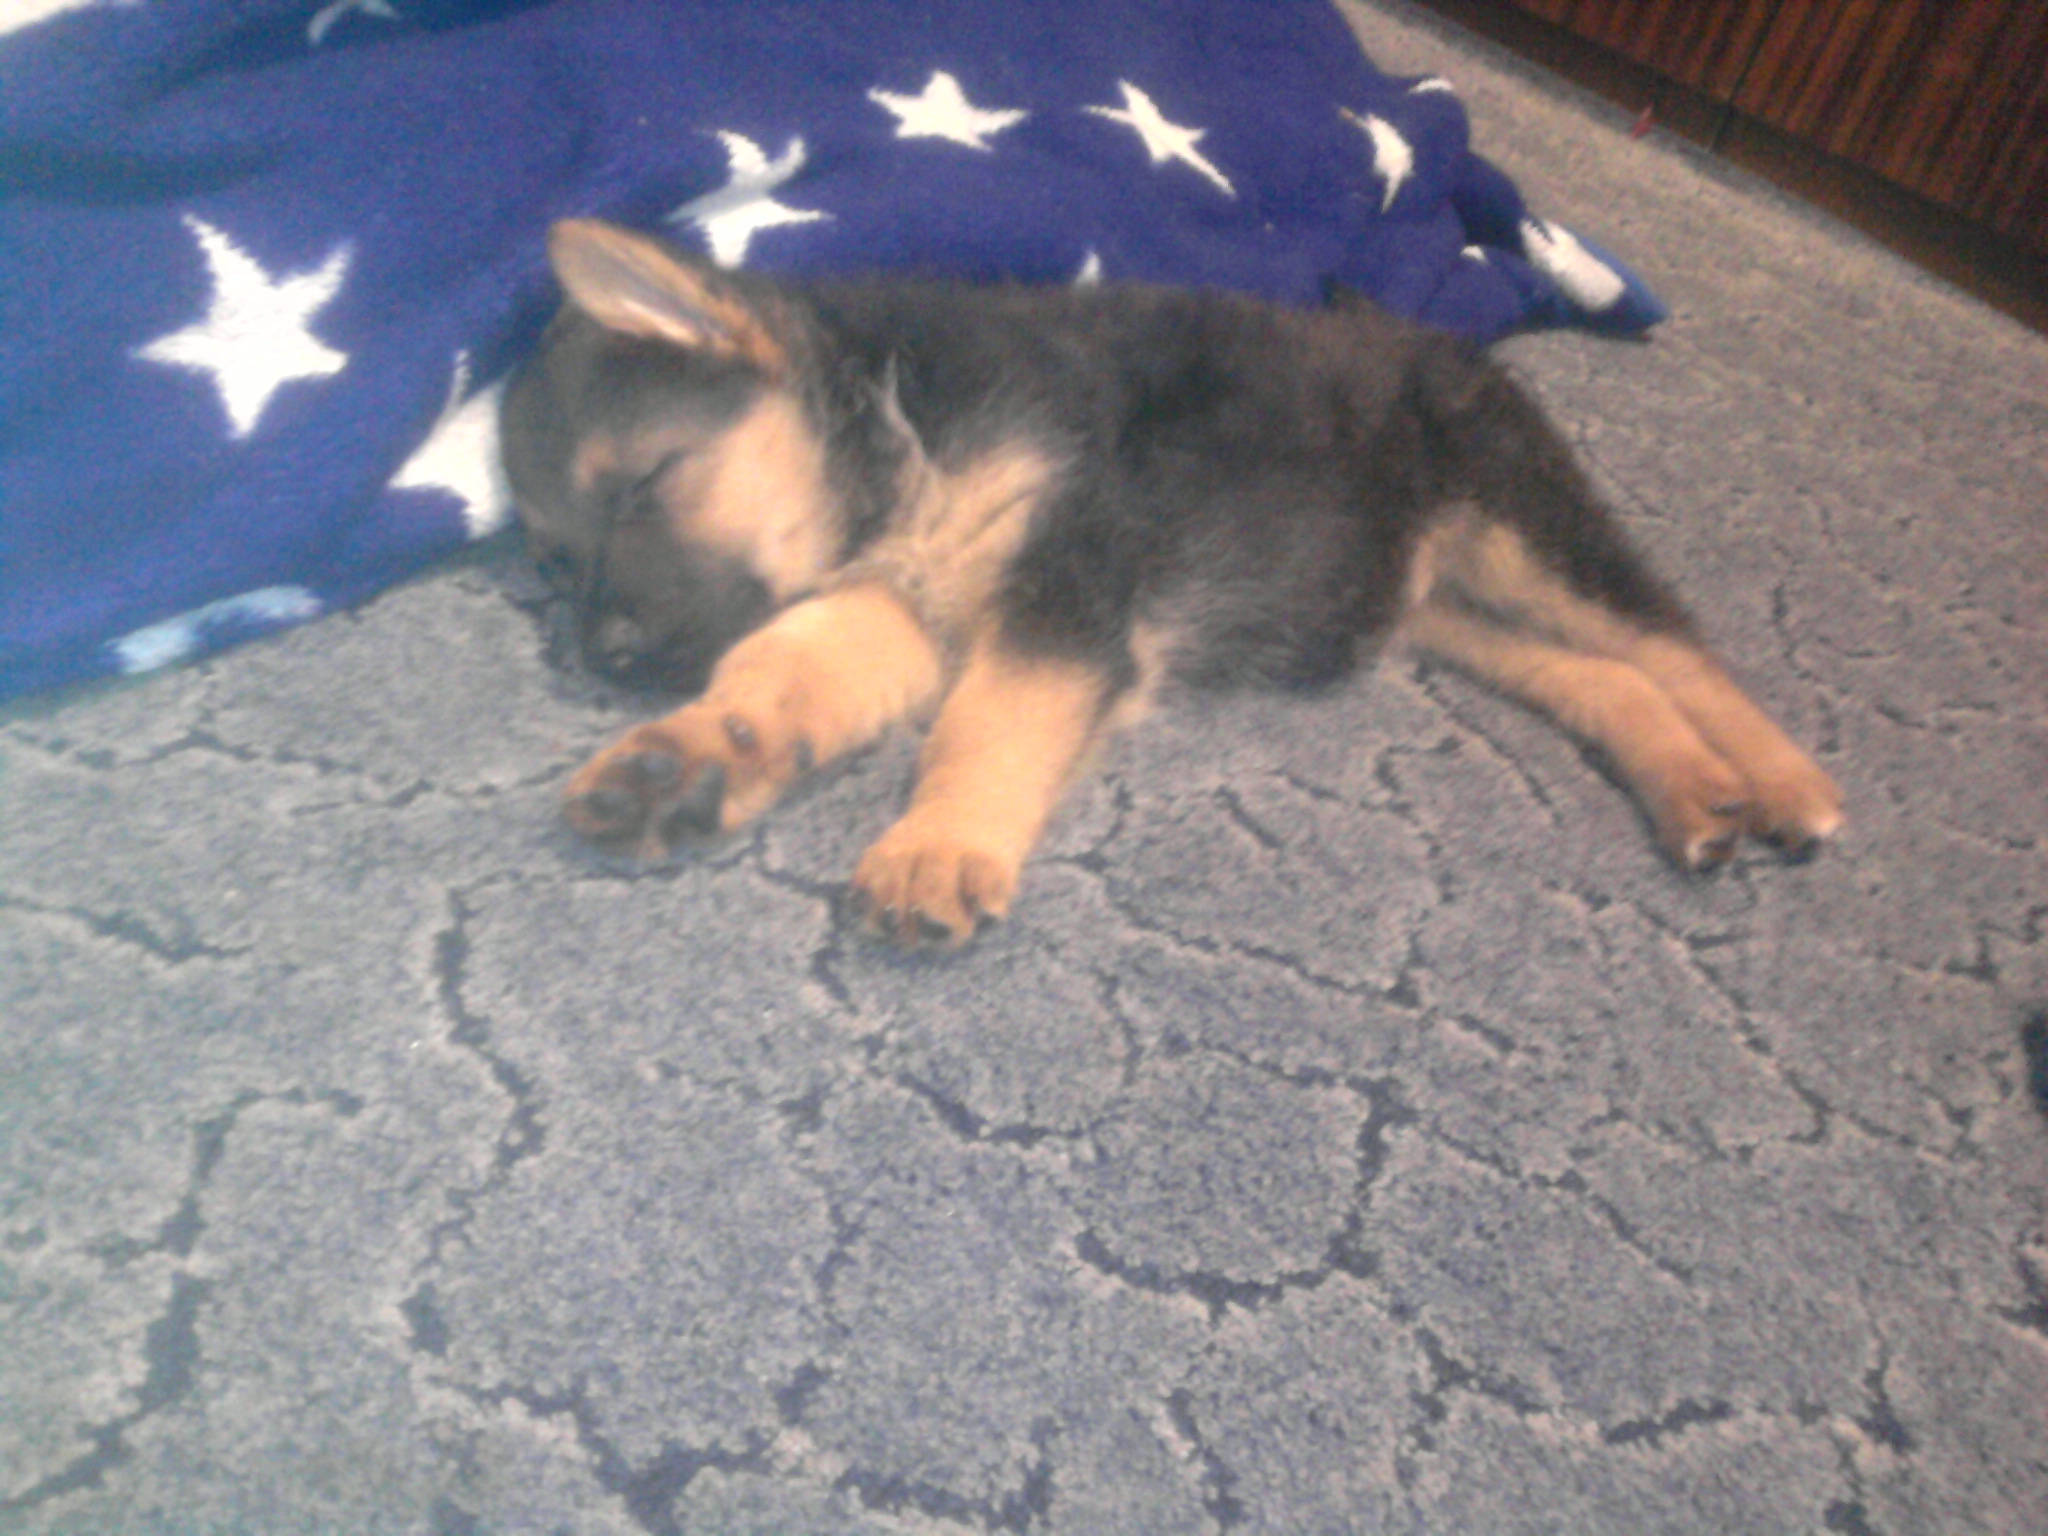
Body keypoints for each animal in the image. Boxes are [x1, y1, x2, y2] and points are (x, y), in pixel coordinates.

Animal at [499, 219, 1842, 947]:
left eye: (643, 484)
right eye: (553, 557)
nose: (598, 661)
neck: (900, 416)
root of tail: (1438, 338)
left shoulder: (1075, 571)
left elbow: (991, 718)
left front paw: (939, 845)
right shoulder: (906, 602)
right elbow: (781, 667)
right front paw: (692, 760)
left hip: (1525, 527)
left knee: (1673, 647)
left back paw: (1786, 784)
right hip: (1435, 604)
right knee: (1604, 680)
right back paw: (1694, 793)